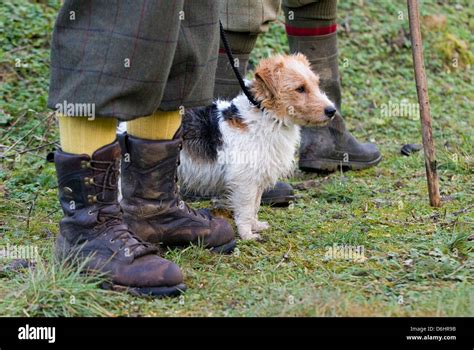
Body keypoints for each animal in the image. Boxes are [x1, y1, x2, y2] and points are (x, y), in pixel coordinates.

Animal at [179, 53, 336, 241]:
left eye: (316, 84)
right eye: (300, 89)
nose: (332, 111)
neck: (267, 115)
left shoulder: (257, 178)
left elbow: (255, 205)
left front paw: (256, 226)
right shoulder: (244, 180)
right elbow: (246, 209)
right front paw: (247, 234)